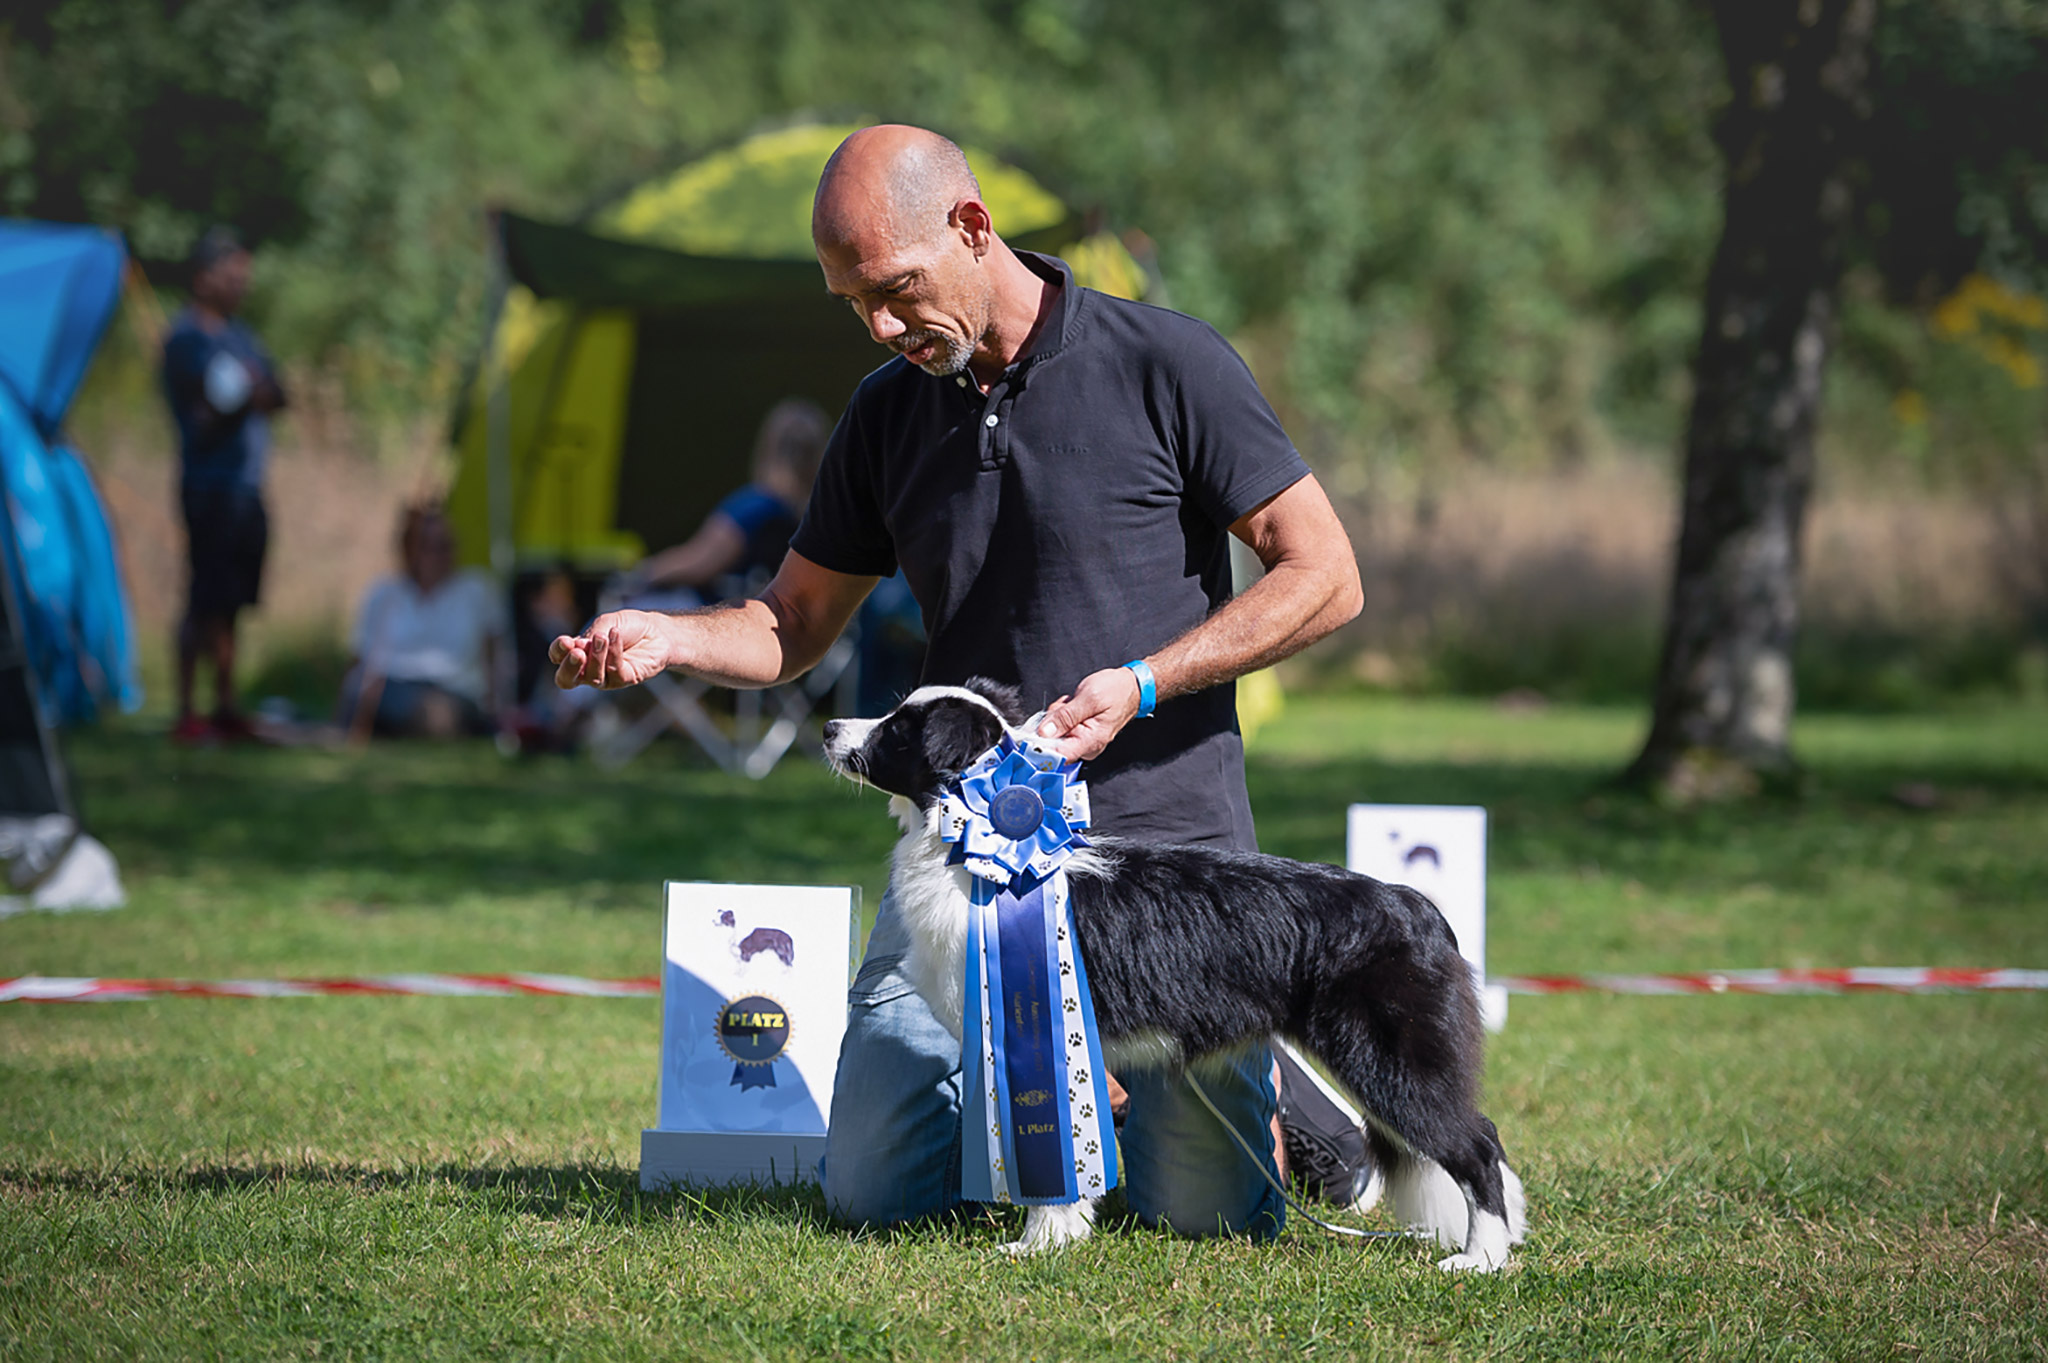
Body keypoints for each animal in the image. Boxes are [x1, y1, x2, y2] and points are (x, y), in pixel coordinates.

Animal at [823, 679, 1531, 1260]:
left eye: (898, 728)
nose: (828, 728)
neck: (969, 851)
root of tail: (1417, 906)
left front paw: (1039, 1243)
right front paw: (1061, 1233)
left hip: (1389, 1058)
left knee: (1479, 1145)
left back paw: (1482, 1259)